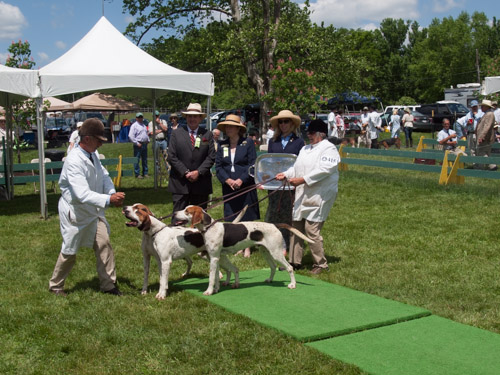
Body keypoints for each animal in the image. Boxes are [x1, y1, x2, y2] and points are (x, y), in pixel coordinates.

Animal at [172, 206, 312, 296]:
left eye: (186, 211)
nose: (174, 213)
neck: (209, 227)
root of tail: (274, 225)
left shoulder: (214, 258)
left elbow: (212, 277)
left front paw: (209, 291)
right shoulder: (215, 258)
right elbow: (216, 276)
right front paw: (216, 289)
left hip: (276, 253)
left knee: (289, 268)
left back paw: (292, 284)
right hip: (266, 252)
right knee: (273, 267)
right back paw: (270, 280)